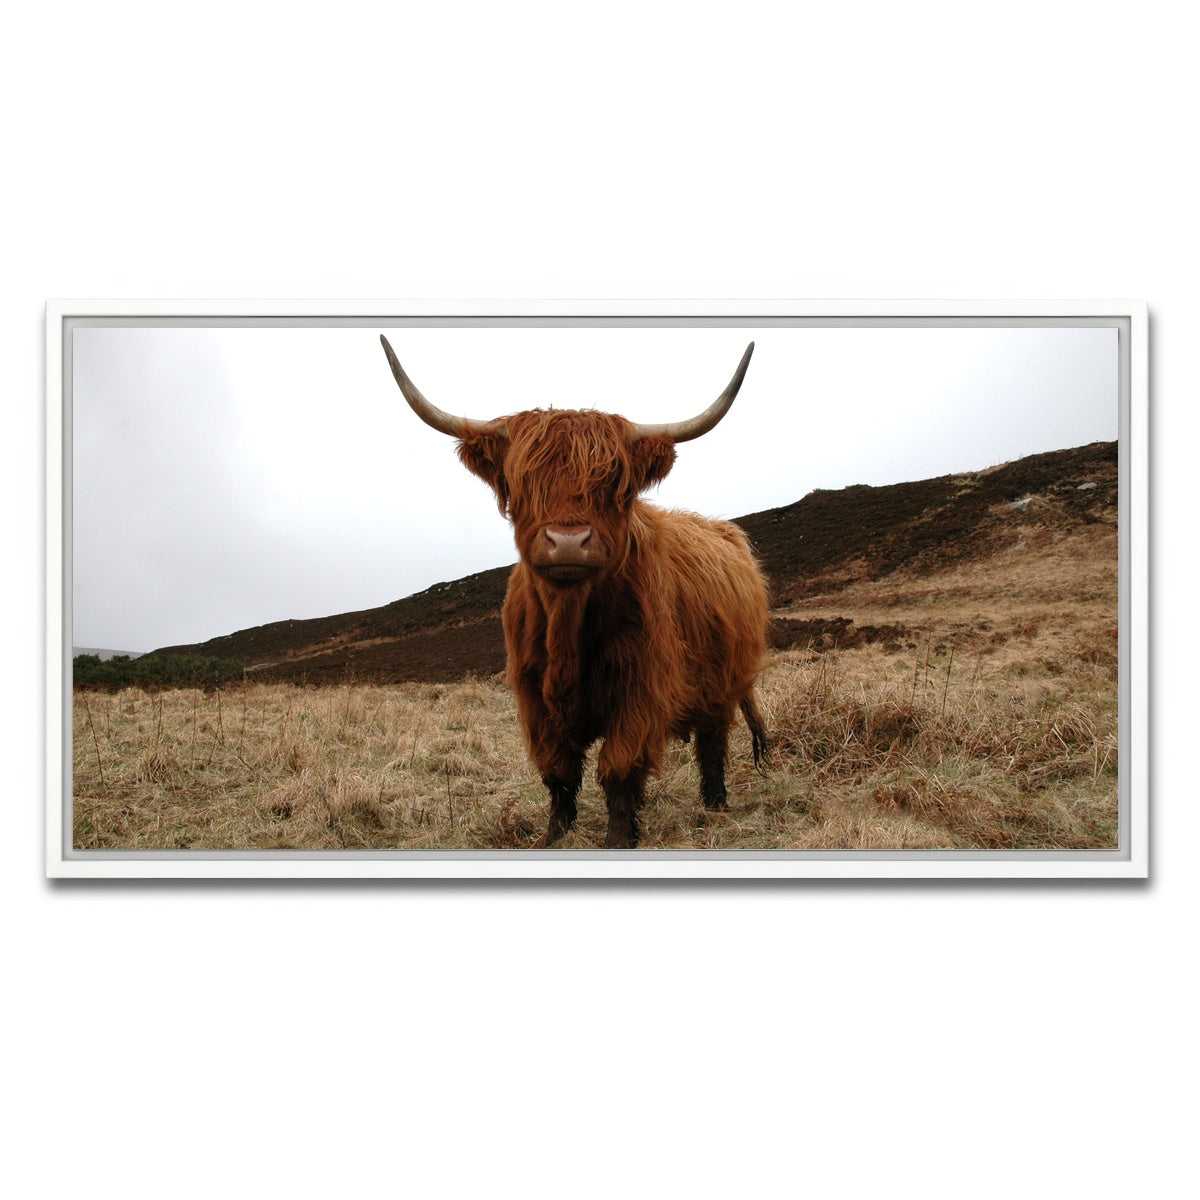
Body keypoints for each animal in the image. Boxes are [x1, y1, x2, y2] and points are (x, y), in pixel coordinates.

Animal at [381, 336, 769, 849]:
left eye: (613, 484)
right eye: (523, 481)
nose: (567, 541)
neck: (567, 627)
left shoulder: (640, 690)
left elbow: (619, 768)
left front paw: (619, 837)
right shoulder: (532, 698)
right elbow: (558, 772)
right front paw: (553, 835)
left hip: (725, 685)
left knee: (713, 744)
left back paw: (717, 804)